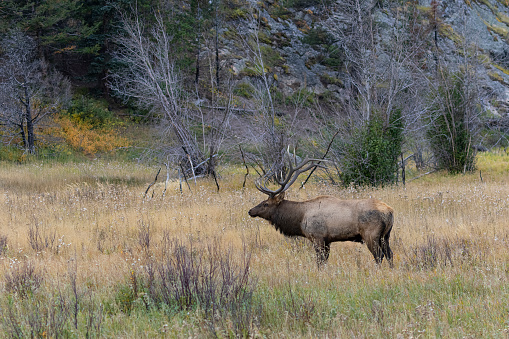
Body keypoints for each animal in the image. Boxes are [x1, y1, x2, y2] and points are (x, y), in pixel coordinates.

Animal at [248, 152, 394, 268]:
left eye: (266, 204)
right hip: (385, 236)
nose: (250, 211)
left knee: (379, 255)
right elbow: (325, 261)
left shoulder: (317, 237)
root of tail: (390, 212)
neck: (300, 219)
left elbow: (320, 261)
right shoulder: (327, 240)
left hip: (371, 235)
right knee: (390, 254)